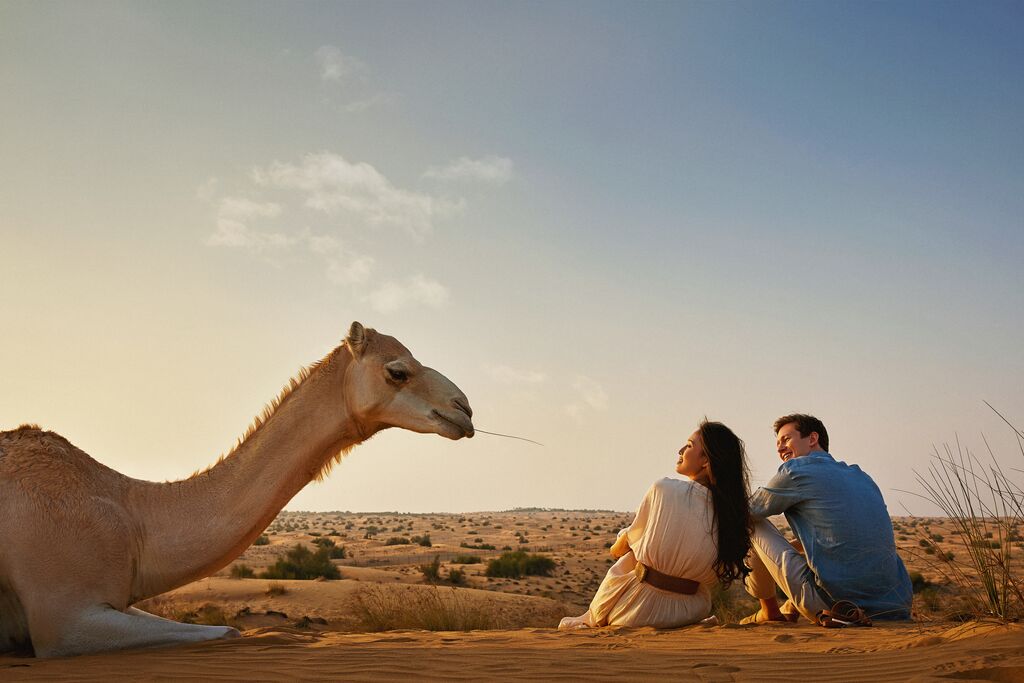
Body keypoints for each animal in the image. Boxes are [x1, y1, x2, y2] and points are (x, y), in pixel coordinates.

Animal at [0, 322, 474, 657]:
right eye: (397, 371)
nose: (464, 409)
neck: (134, 515)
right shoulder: (65, 617)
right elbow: (228, 629)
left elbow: (225, 629)